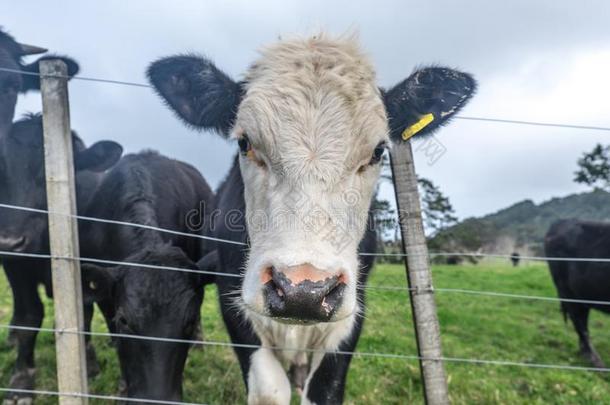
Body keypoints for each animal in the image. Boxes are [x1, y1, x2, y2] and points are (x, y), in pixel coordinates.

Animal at [147, 33, 476, 402]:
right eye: (245, 143)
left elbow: (323, 391)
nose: (303, 290)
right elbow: (270, 389)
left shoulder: (350, 316)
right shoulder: (233, 301)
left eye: (378, 151)